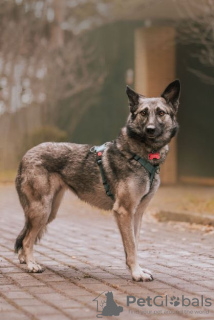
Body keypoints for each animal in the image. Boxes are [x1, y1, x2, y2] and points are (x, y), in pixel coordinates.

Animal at [14, 79, 180, 282]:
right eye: (143, 113)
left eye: (161, 113)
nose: (150, 129)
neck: (140, 156)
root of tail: (25, 156)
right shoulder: (124, 211)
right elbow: (131, 247)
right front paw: (136, 273)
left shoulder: (137, 213)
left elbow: (136, 243)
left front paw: (138, 270)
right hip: (41, 211)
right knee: (27, 240)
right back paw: (31, 264)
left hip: (49, 212)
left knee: (26, 237)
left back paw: (25, 260)